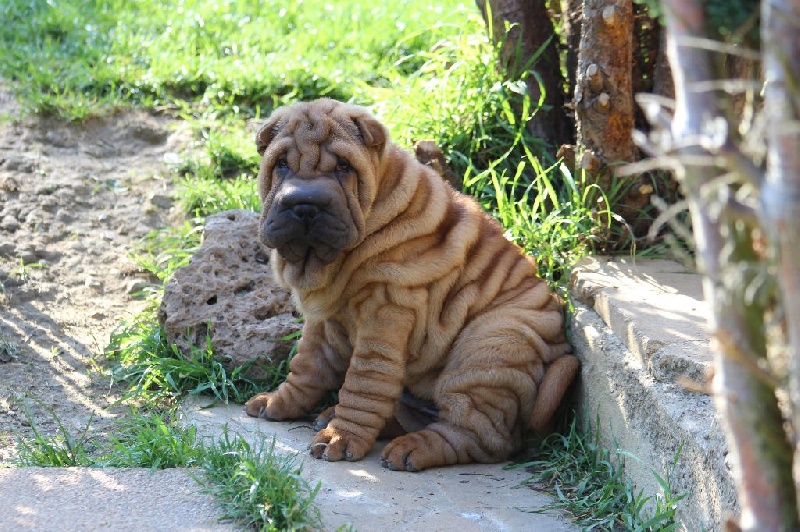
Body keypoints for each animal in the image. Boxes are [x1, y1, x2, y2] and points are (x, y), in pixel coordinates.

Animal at [244, 97, 576, 472]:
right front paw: (278, 402)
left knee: (476, 434)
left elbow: (363, 381)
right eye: (281, 164)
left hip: (492, 345)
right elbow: (306, 365)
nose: (304, 204)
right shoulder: (325, 316)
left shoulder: (386, 311)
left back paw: (410, 448)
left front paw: (339, 438)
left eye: (344, 166)